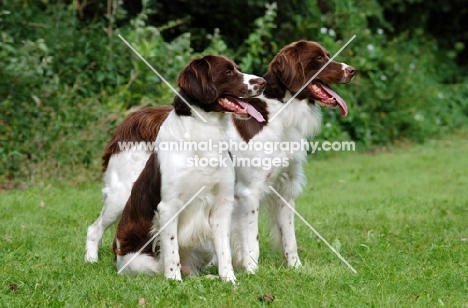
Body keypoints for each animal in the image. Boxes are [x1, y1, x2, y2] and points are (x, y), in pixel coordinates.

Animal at [85, 40, 354, 274]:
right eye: (318, 59)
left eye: (327, 55)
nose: (352, 71)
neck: (278, 114)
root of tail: (129, 120)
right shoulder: (248, 191)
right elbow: (252, 240)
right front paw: (252, 271)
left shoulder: (285, 189)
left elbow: (289, 237)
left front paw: (296, 268)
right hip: (123, 193)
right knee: (94, 228)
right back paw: (91, 261)